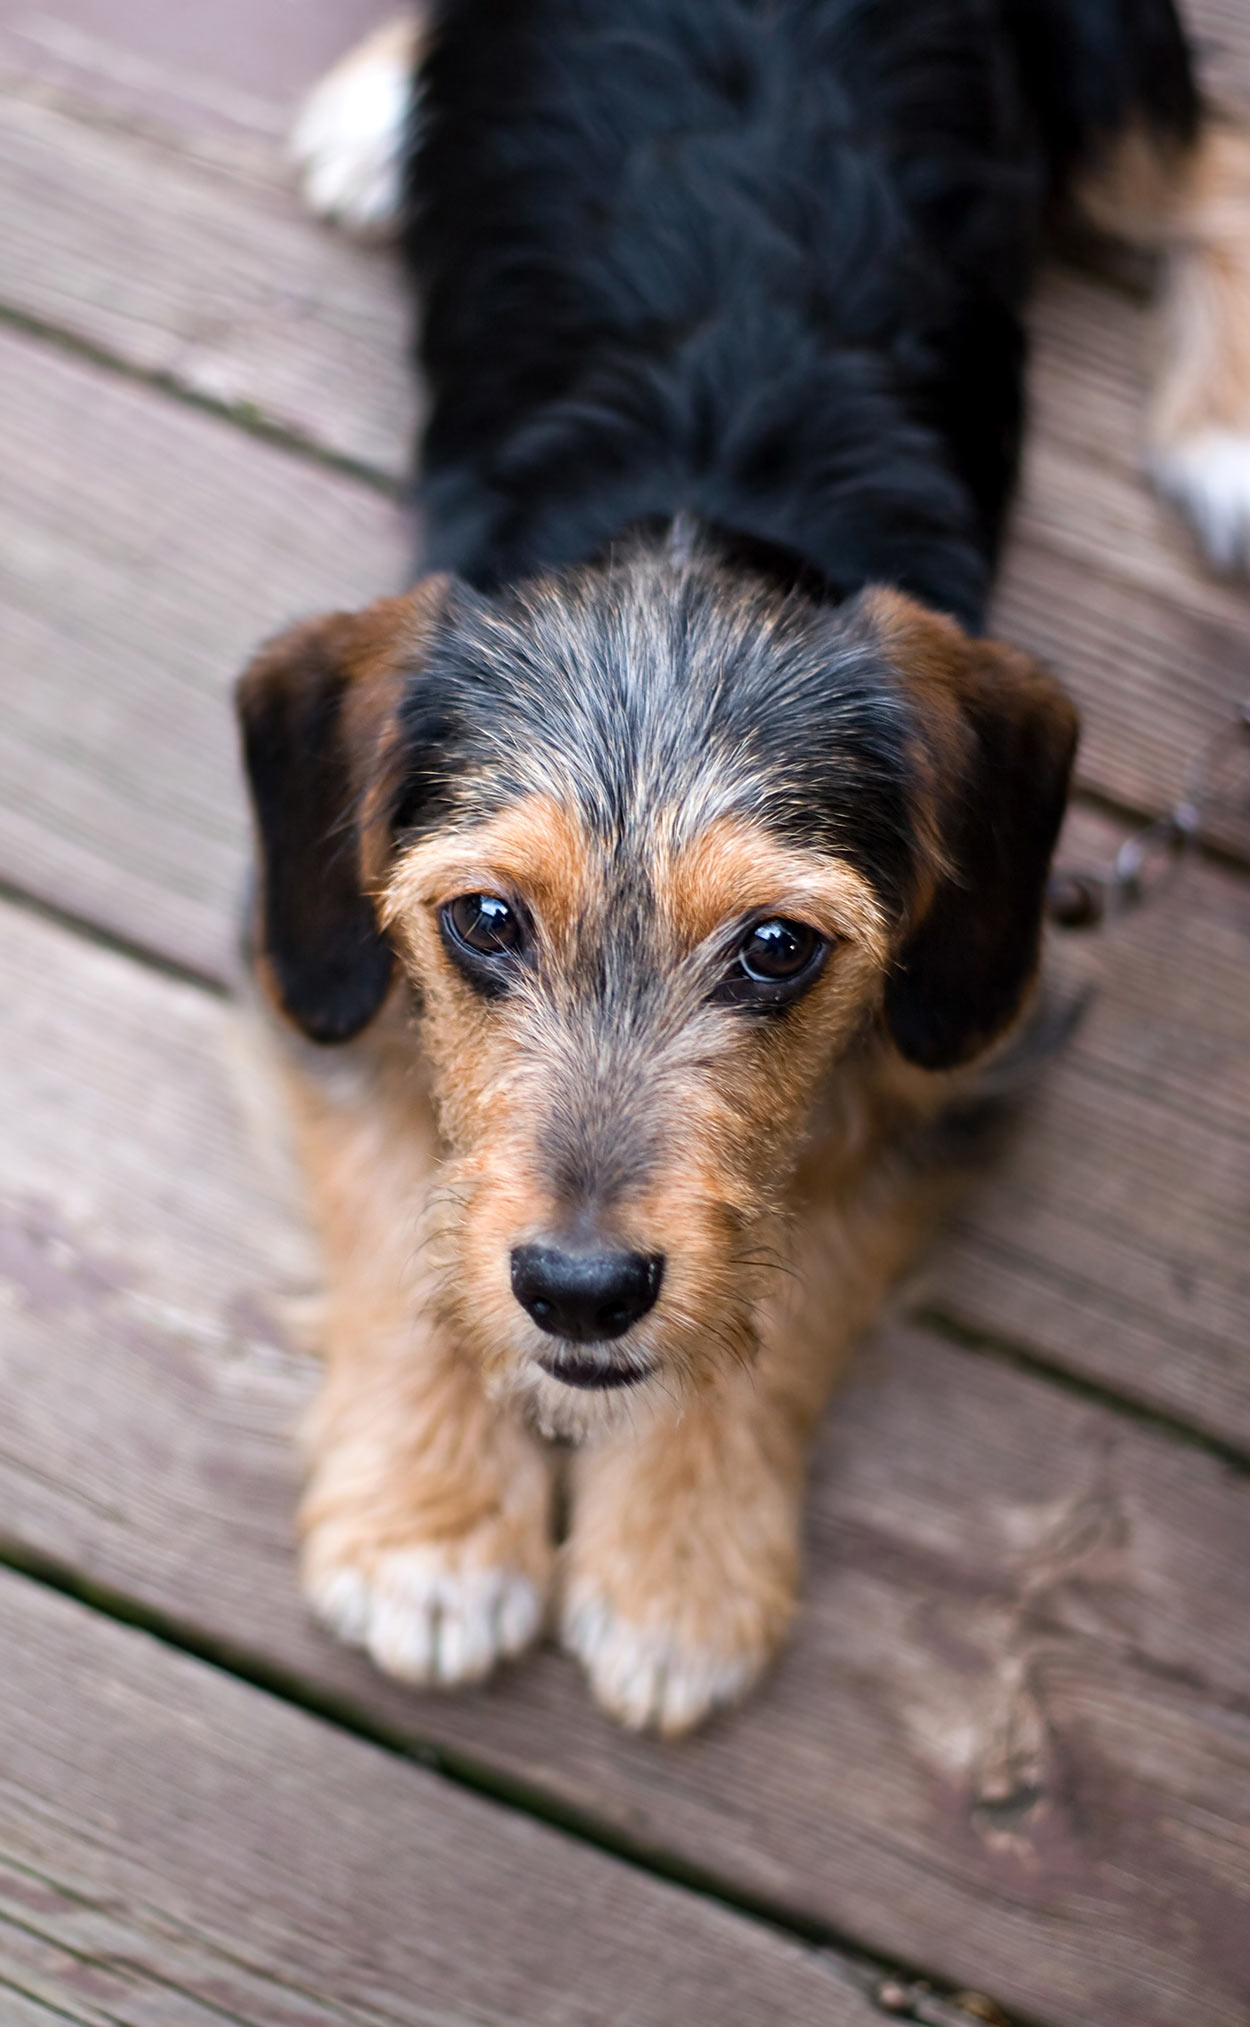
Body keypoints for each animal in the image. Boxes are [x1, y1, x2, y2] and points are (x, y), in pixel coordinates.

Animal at [241, 3, 1247, 1743]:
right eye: (484, 919)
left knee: (1216, 159)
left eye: (778, 949)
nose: (579, 1292)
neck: (691, 494)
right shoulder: (321, 955)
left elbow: (799, 1287)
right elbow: (396, 1201)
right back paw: (379, 107)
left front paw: (678, 1560)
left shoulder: (953, 1047)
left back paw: (1226, 433)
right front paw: (432, 1530)